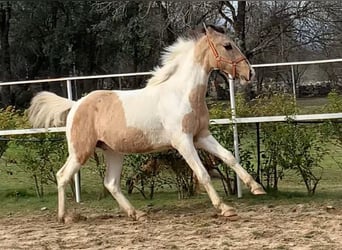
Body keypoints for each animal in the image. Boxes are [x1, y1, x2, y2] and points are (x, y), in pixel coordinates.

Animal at [28, 24, 266, 222]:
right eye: (227, 46)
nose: (250, 73)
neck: (182, 94)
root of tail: (75, 104)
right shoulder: (183, 142)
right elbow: (203, 174)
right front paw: (225, 208)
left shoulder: (201, 136)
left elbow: (229, 157)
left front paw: (256, 188)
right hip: (81, 151)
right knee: (62, 176)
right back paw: (64, 217)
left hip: (113, 152)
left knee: (111, 183)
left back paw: (136, 213)